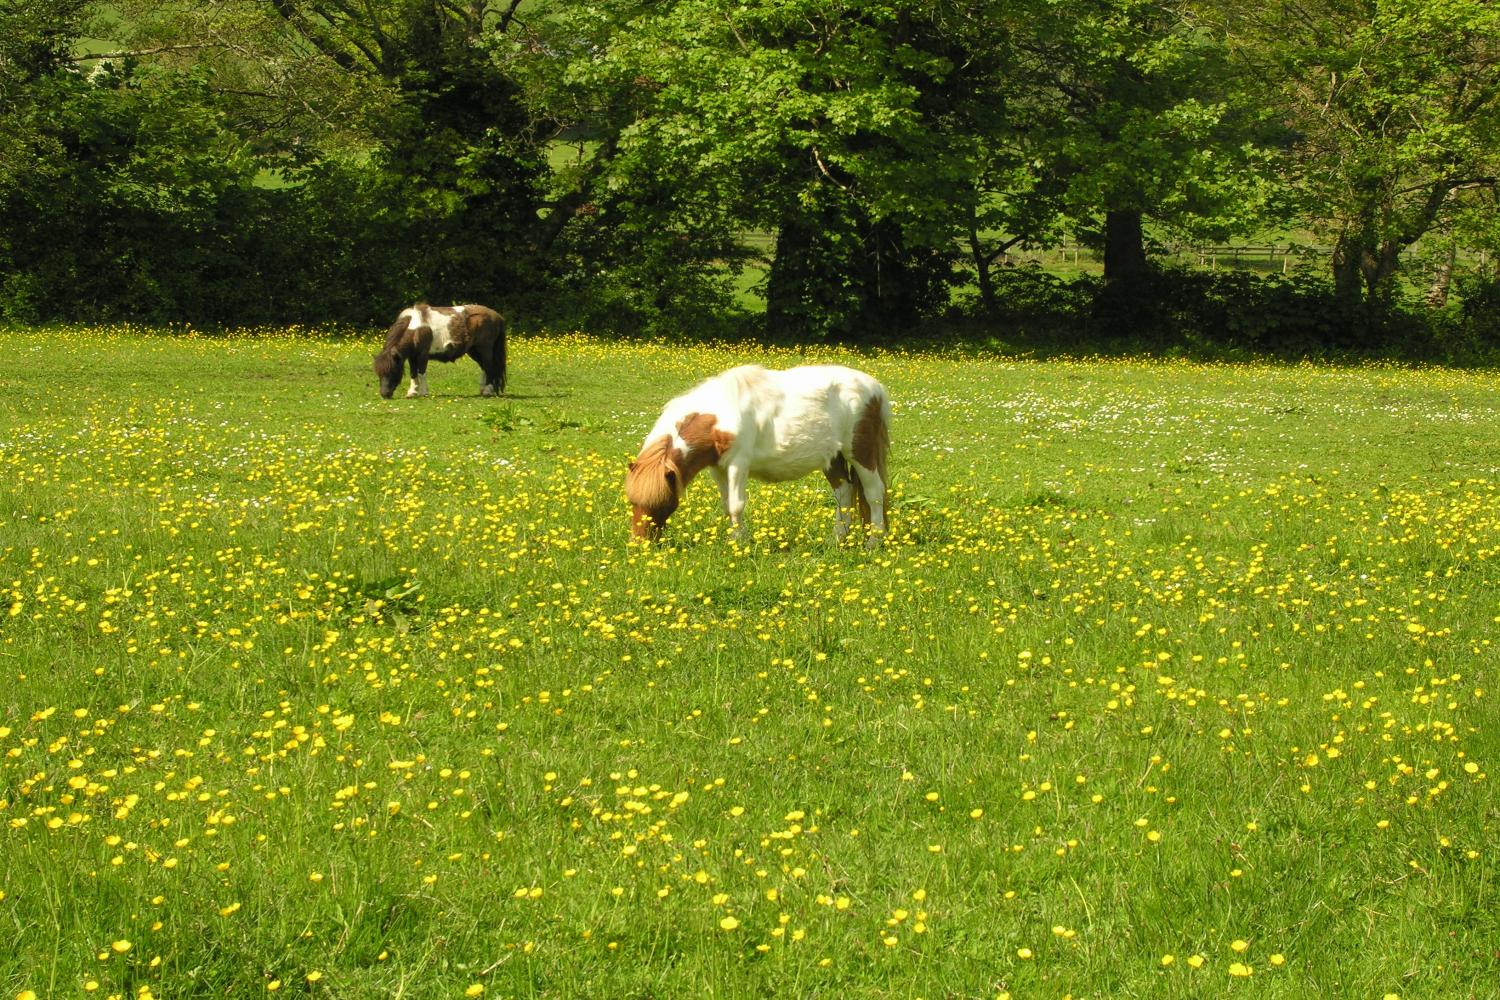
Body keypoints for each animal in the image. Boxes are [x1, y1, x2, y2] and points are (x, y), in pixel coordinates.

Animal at [375, 302, 510, 401]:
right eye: (379, 373)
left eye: (392, 371)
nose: (384, 394)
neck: (415, 329)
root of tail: (498, 316)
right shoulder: (412, 356)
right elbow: (413, 373)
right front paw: (412, 392)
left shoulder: (422, 355)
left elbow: (421, 372)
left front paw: (424, 393)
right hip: (474, 350)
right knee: (484, 367)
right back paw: (483, 390)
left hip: (485, 348)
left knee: (489, 367)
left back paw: (487, 391)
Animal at [624, 364, 888, 548]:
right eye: (632, 501)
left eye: (661, 502)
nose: (639, 544)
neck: (719, 418)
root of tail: (875, 388)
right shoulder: (717, 468)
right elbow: (726, 505)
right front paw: (733, 540)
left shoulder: (738, 464)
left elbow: (736, 505)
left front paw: (740, 544)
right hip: (832, 458)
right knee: (844, 492)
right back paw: (839, 539)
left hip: (860, 453)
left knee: (874, 493)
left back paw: (873, 542)